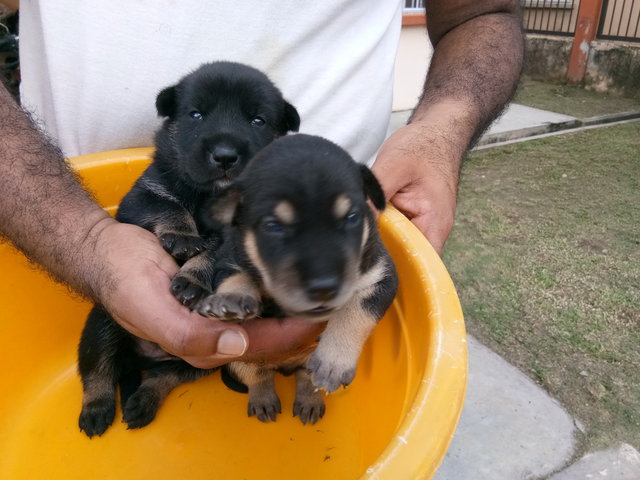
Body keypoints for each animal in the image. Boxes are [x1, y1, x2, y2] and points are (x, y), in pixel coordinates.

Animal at [77, 62, 300, 436]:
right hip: (103, 324)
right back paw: (96, 409)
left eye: (258, 120)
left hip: (198, 363)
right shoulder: (144, 197)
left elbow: (214, 252)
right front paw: (182, 237)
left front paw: (192, 278)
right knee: (98, 370)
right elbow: (169, 206)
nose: (225, 156)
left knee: (163, 377)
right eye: (196, 114)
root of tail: (146, 354)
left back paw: (143, 402)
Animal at [199, 135, 400, 424]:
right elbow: (237, 275)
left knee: (305, 379)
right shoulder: (228, 257)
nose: (324, 288)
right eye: (273, 226)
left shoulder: (381, 276)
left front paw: (333, 362)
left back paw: (309, 402)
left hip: (303, 364)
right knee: (258, 377)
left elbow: (356, 312)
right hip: (237, 360)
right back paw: (264, 401)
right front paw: (230, 300)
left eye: (352, 217)